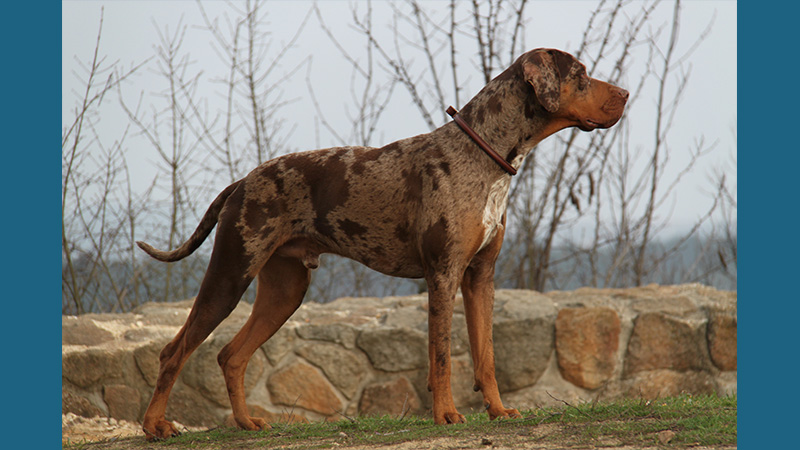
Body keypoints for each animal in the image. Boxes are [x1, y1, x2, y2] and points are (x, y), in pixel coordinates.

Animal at [136, 48, 624, 440]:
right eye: (581, 72)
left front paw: (498, 410)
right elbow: (442, 356)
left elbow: (485, 356)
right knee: (174, 352)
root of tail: (241, 181)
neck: (483, 156)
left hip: (285, 290)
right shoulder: (442, 275)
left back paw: (244, 422)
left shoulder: (480, 277)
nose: (626, 93)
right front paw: (446, 415)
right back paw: (155, 425)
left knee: (231, 356)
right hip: (230, 275)